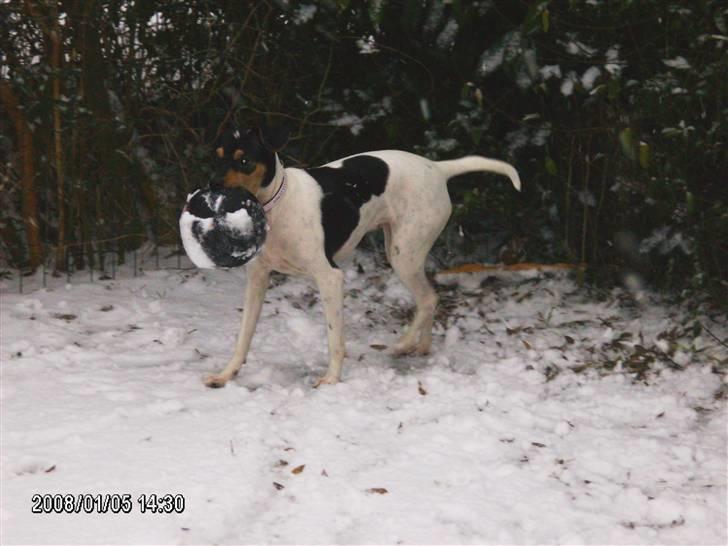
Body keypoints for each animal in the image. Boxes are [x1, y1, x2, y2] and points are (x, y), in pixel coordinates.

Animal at [205, 126, 520, 386]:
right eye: (216, 157)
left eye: (244, 161)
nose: (212, 185)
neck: (277, 208)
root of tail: (437, 168)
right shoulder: (257, 280)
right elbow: (243, 337)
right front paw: (226, 374)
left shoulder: (330, 277)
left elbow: (334, 338)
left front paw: (331, 379)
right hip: (401, 249)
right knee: (429, 299)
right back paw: (421, 345)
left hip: (403, 255)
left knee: (429, 299)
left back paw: (404, 343)